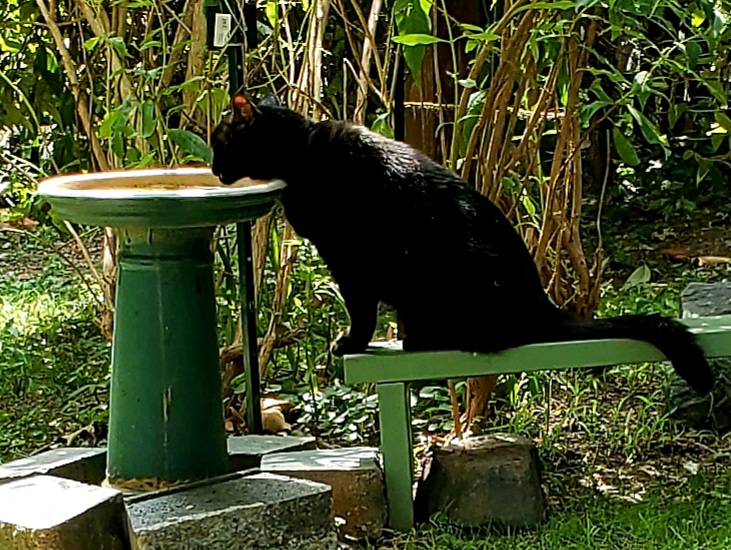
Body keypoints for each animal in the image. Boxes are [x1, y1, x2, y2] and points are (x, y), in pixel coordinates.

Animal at [210, 93, 713, 394]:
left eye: (220, 143)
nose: (212, 168)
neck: (302, 152)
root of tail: (543, 305)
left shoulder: (348, 259)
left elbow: (361, 311)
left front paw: (351, 342)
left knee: (491, 335)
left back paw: (421, 338)